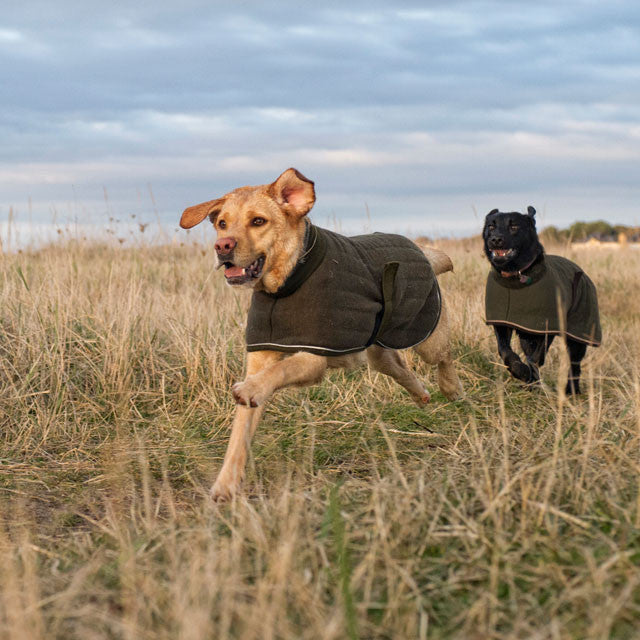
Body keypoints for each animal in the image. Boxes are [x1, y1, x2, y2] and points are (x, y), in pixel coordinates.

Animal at [180, 168, 462, 501]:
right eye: (222, 223)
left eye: (258, 221)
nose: (222, 246)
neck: (285, 284)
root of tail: (421, 249)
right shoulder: (261, 356)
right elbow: (240, 432)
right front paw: (226, 484)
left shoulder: (313, 356)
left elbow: (280, 370)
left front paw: (251, 388)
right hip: (376, 348)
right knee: (395, 364)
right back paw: (420, 394)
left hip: (426, 335)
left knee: (443, 357)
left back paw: (451, 389)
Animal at [483, 207, 601, 394]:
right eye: (491, 227)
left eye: (514, 226)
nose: (495, 240)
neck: (516, 278)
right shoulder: (502, 324)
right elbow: (505, 351)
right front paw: (520, 371)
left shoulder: (547, 326)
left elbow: (536, 358)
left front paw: (529, 375)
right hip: (527, 337)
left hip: (578, 334)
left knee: (574, 365)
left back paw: (571, 391)